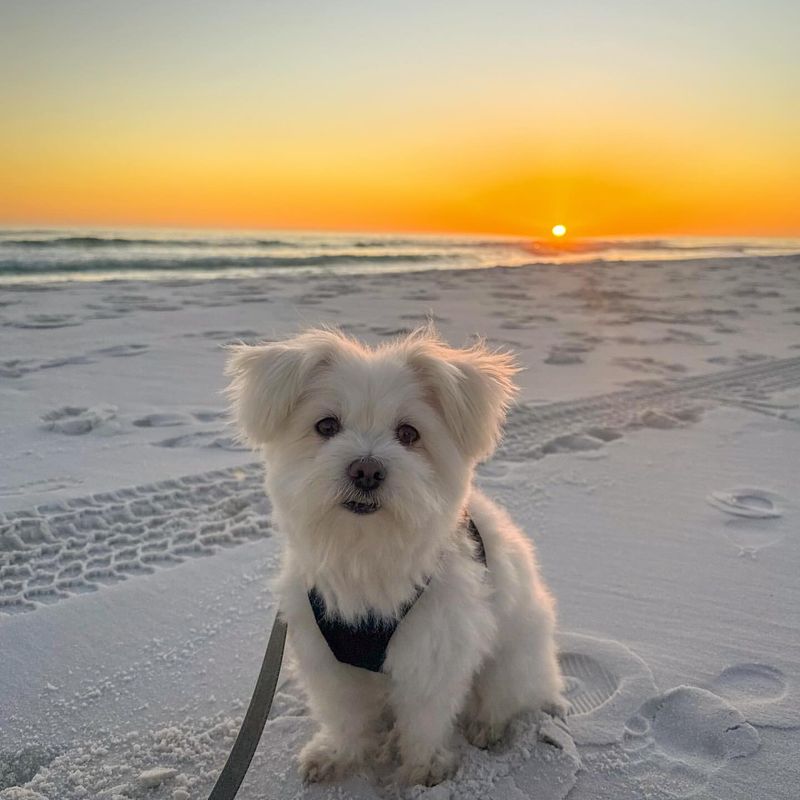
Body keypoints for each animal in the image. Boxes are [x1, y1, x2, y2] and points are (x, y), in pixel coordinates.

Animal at [225, 326, 564, 788]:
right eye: (326, 425)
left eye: (408, 433)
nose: (366, 470)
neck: (366, 552)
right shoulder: (327, 658)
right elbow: (345, 715)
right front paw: (339, 755)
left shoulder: (433, 651)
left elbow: (425, 719)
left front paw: (424, 769)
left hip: (512, 655)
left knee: (504, 695)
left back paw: (487, 726)